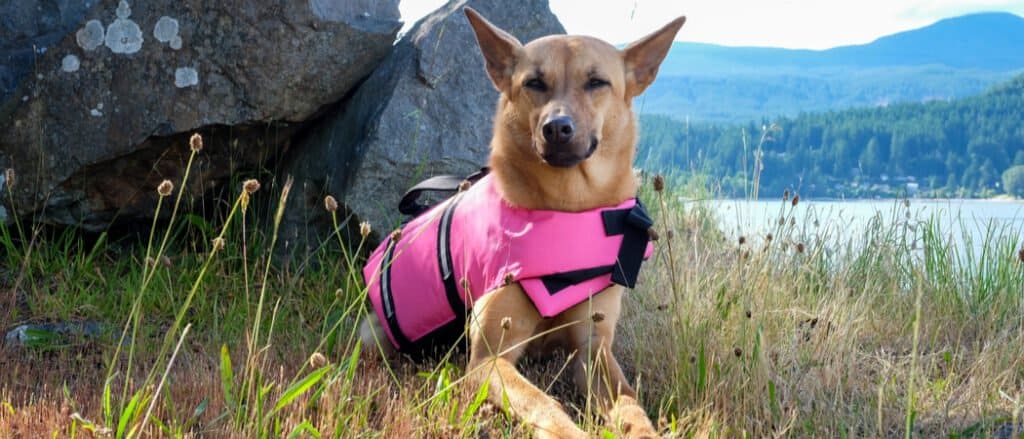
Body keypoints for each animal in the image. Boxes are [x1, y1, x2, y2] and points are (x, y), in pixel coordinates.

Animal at [362, 7, 688, 437]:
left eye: (597, 82)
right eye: (534, 83)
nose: (557, 128)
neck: (566, 209)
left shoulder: (594, 352)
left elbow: (632, 408)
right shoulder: (489, 358)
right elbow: (544, 404)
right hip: (374, 337)